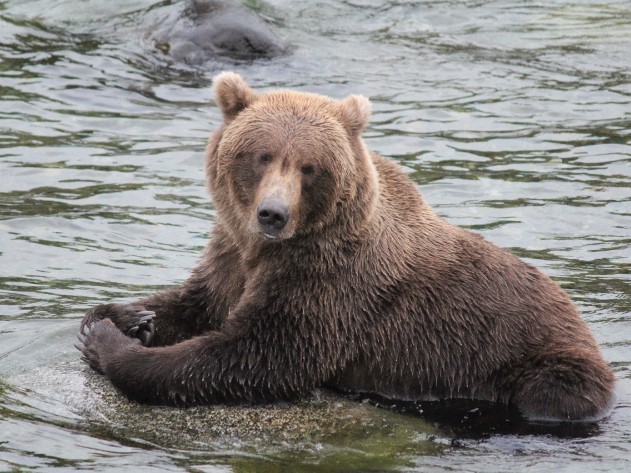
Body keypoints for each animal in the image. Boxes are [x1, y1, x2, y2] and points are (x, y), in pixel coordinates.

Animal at [78, 73, 616, 420]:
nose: (272, 214)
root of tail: (582, 324)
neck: (272, 248)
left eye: (309, 166)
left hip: (541, 364)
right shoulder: (231, 253)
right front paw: (126, 317)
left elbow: (253, 354)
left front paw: (111, 346)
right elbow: (198, 302)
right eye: (261, 155)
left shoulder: (333, 282)